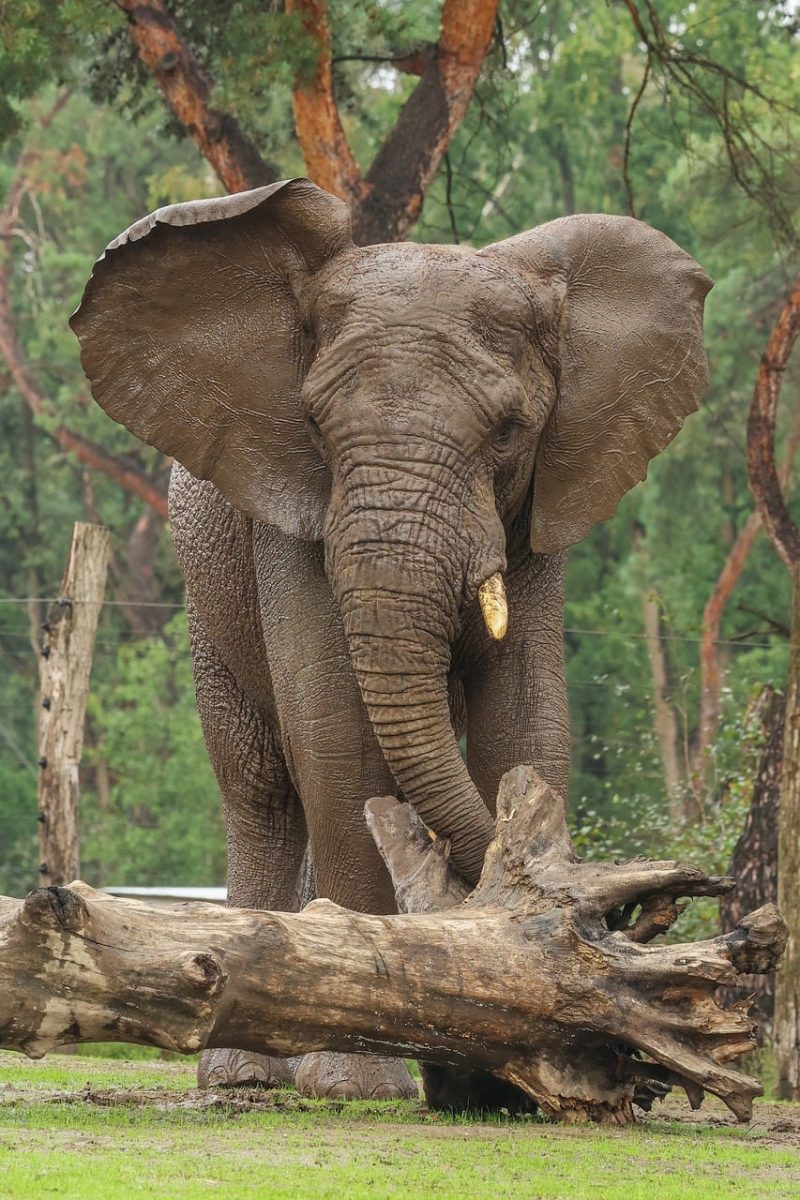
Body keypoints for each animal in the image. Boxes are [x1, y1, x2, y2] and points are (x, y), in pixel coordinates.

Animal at [71, 177, 711, 1102]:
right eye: (314, 423)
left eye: (510, 431)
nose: (630, 918)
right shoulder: (290, 508)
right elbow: (336, 731)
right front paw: (355, 1082)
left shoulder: (540, 508)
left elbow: (525, 722)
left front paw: (496, 1071)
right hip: (206, 601)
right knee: (261, 788)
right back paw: (247, 1075)